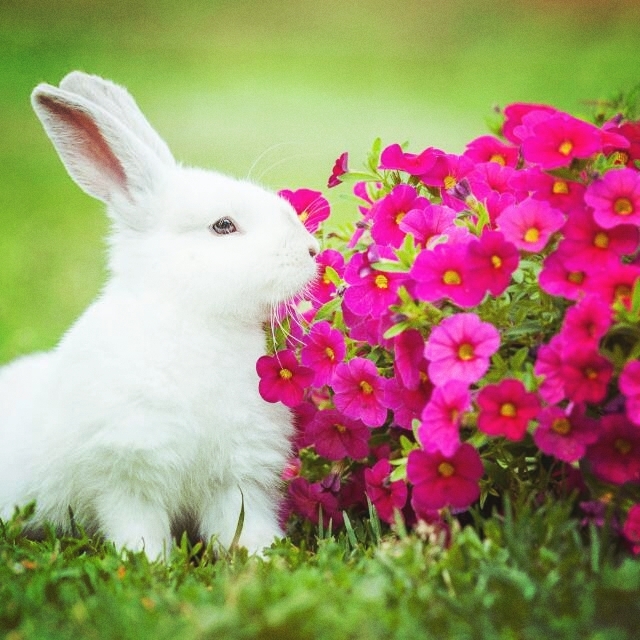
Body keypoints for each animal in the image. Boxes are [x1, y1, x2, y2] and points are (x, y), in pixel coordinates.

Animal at [0, 71, 320, 560]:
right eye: (223, 226)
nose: (312, 251)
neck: (196, 319)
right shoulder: (126, 474)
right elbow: (138, 525)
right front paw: (148, 561)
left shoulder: (236, 477)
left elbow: (243, 524)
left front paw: (265, 556)